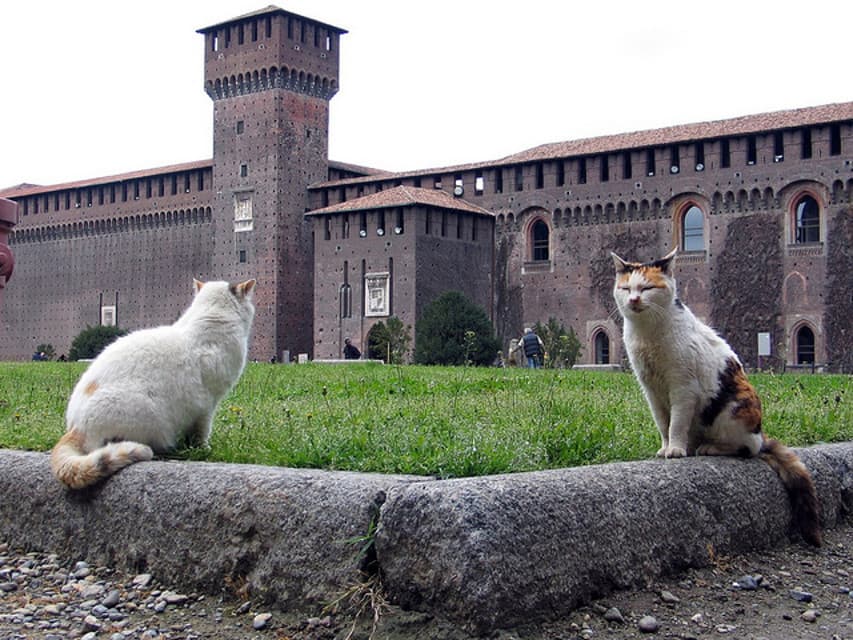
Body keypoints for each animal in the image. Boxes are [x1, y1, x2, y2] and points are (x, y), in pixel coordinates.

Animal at [608, 250, 824, 544]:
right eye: (626, 288)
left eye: (648, 288)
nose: (634, 300)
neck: (647, 335)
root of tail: (761, 431)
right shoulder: (650, 389)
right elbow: (663, 424)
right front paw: (665, 448)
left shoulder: (683, 387)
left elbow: (676, 424)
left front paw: (675, 450)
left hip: (732, 410)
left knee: (748, 448)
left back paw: (708, 448)